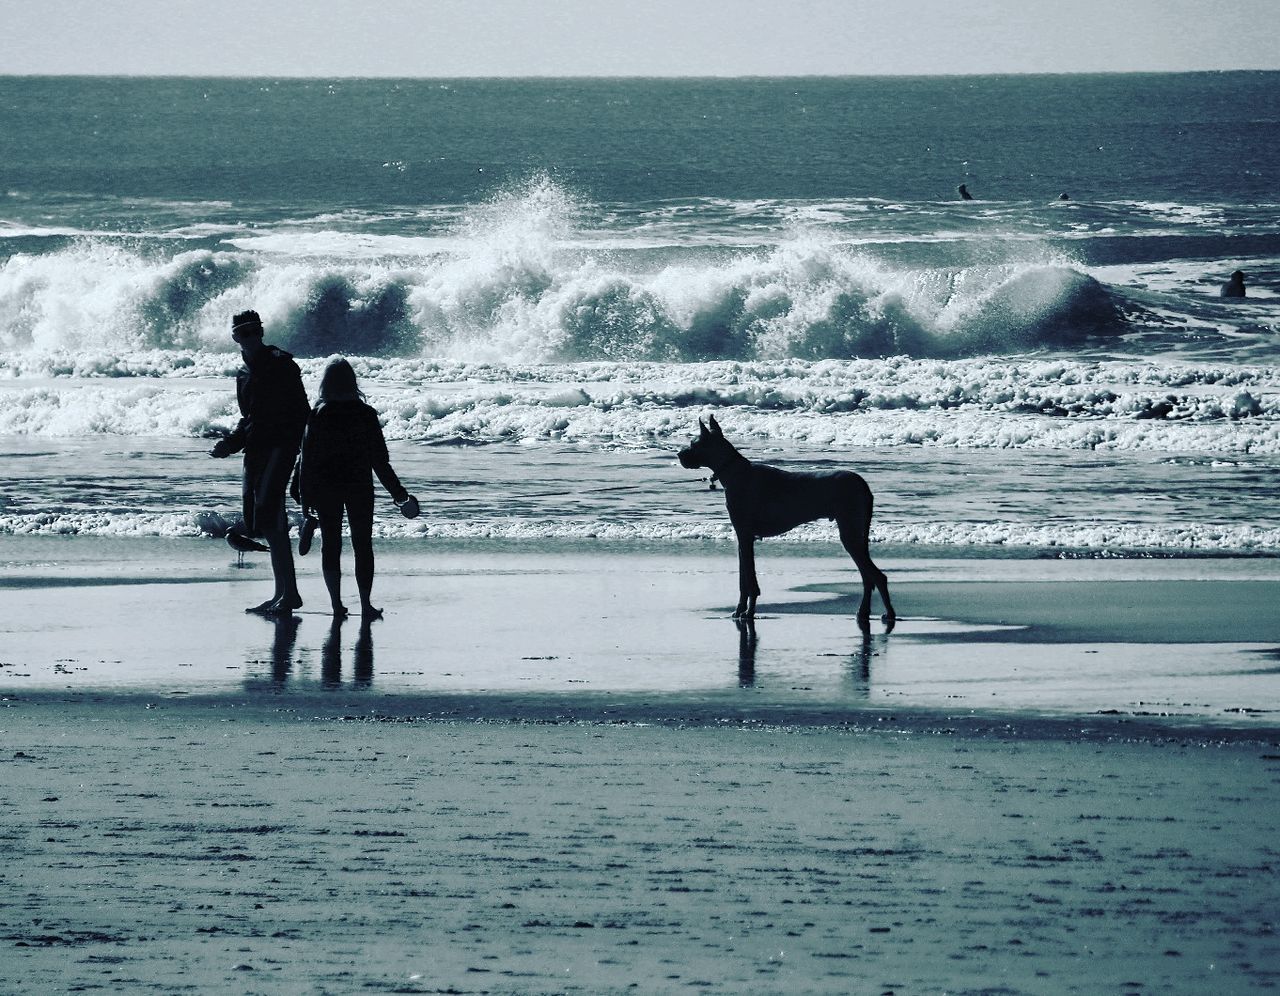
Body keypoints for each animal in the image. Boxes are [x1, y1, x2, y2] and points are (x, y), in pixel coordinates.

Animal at [675, 414, 896, 624]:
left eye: (694, 444)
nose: (679, 454)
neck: (733, 471)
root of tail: (863, 485)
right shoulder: (743, 538)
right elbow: (743, 578)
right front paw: (741, 610)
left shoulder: (745, 536)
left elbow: (749, 580)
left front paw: (748, 611)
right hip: (856, 533)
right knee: (868, 577)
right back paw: (864, 612)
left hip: (850, 531)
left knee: (877, 576)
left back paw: (888, 613)